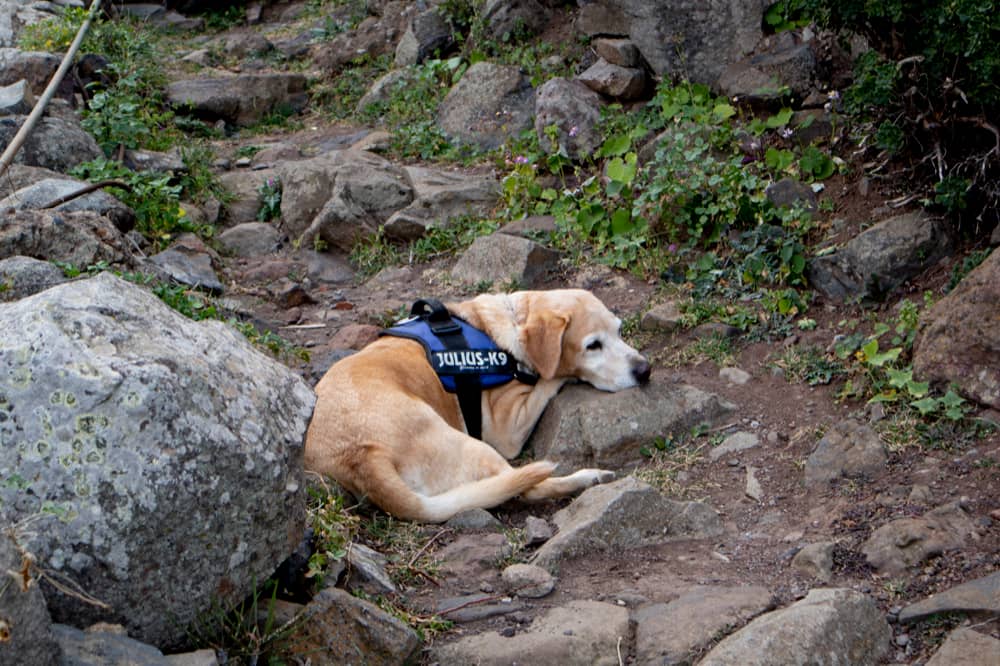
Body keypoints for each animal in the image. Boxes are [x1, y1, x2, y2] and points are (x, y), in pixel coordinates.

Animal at [304, 288, 648, 520]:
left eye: (619, 331)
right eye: (593, 345)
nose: (645, 369)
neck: (509, 322)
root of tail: (360, 456)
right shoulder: (508, 428)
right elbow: (549, 380)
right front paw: (564, 375)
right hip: (474, 446)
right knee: (530, 486)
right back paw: (587, 477)